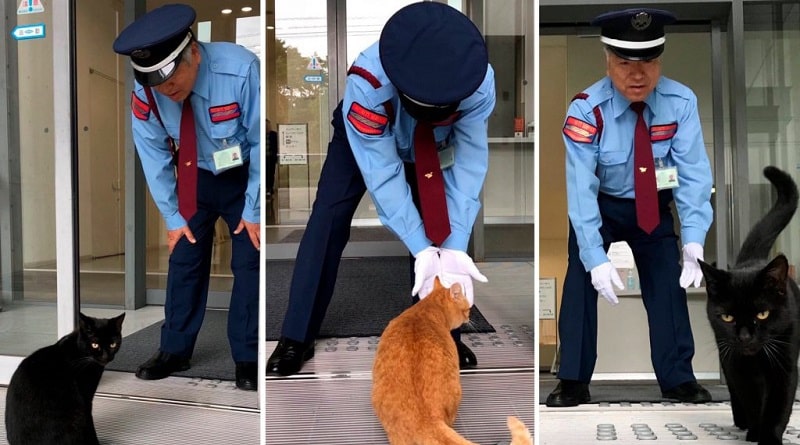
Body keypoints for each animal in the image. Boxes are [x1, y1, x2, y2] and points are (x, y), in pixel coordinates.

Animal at [5, 312, 125, 444]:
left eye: (113, 344)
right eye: (95, 345)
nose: (106, 357)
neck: (80, 352)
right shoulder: (85, 398)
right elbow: (89, 424)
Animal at [700, 166, 800, 444]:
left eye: (763, 313)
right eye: (727, 317)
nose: (744, 337)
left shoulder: (785, 365)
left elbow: (778, 404)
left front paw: (770, 436)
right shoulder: (738, 366)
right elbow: (752, 399)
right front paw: (756, 430)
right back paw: (742, 421)